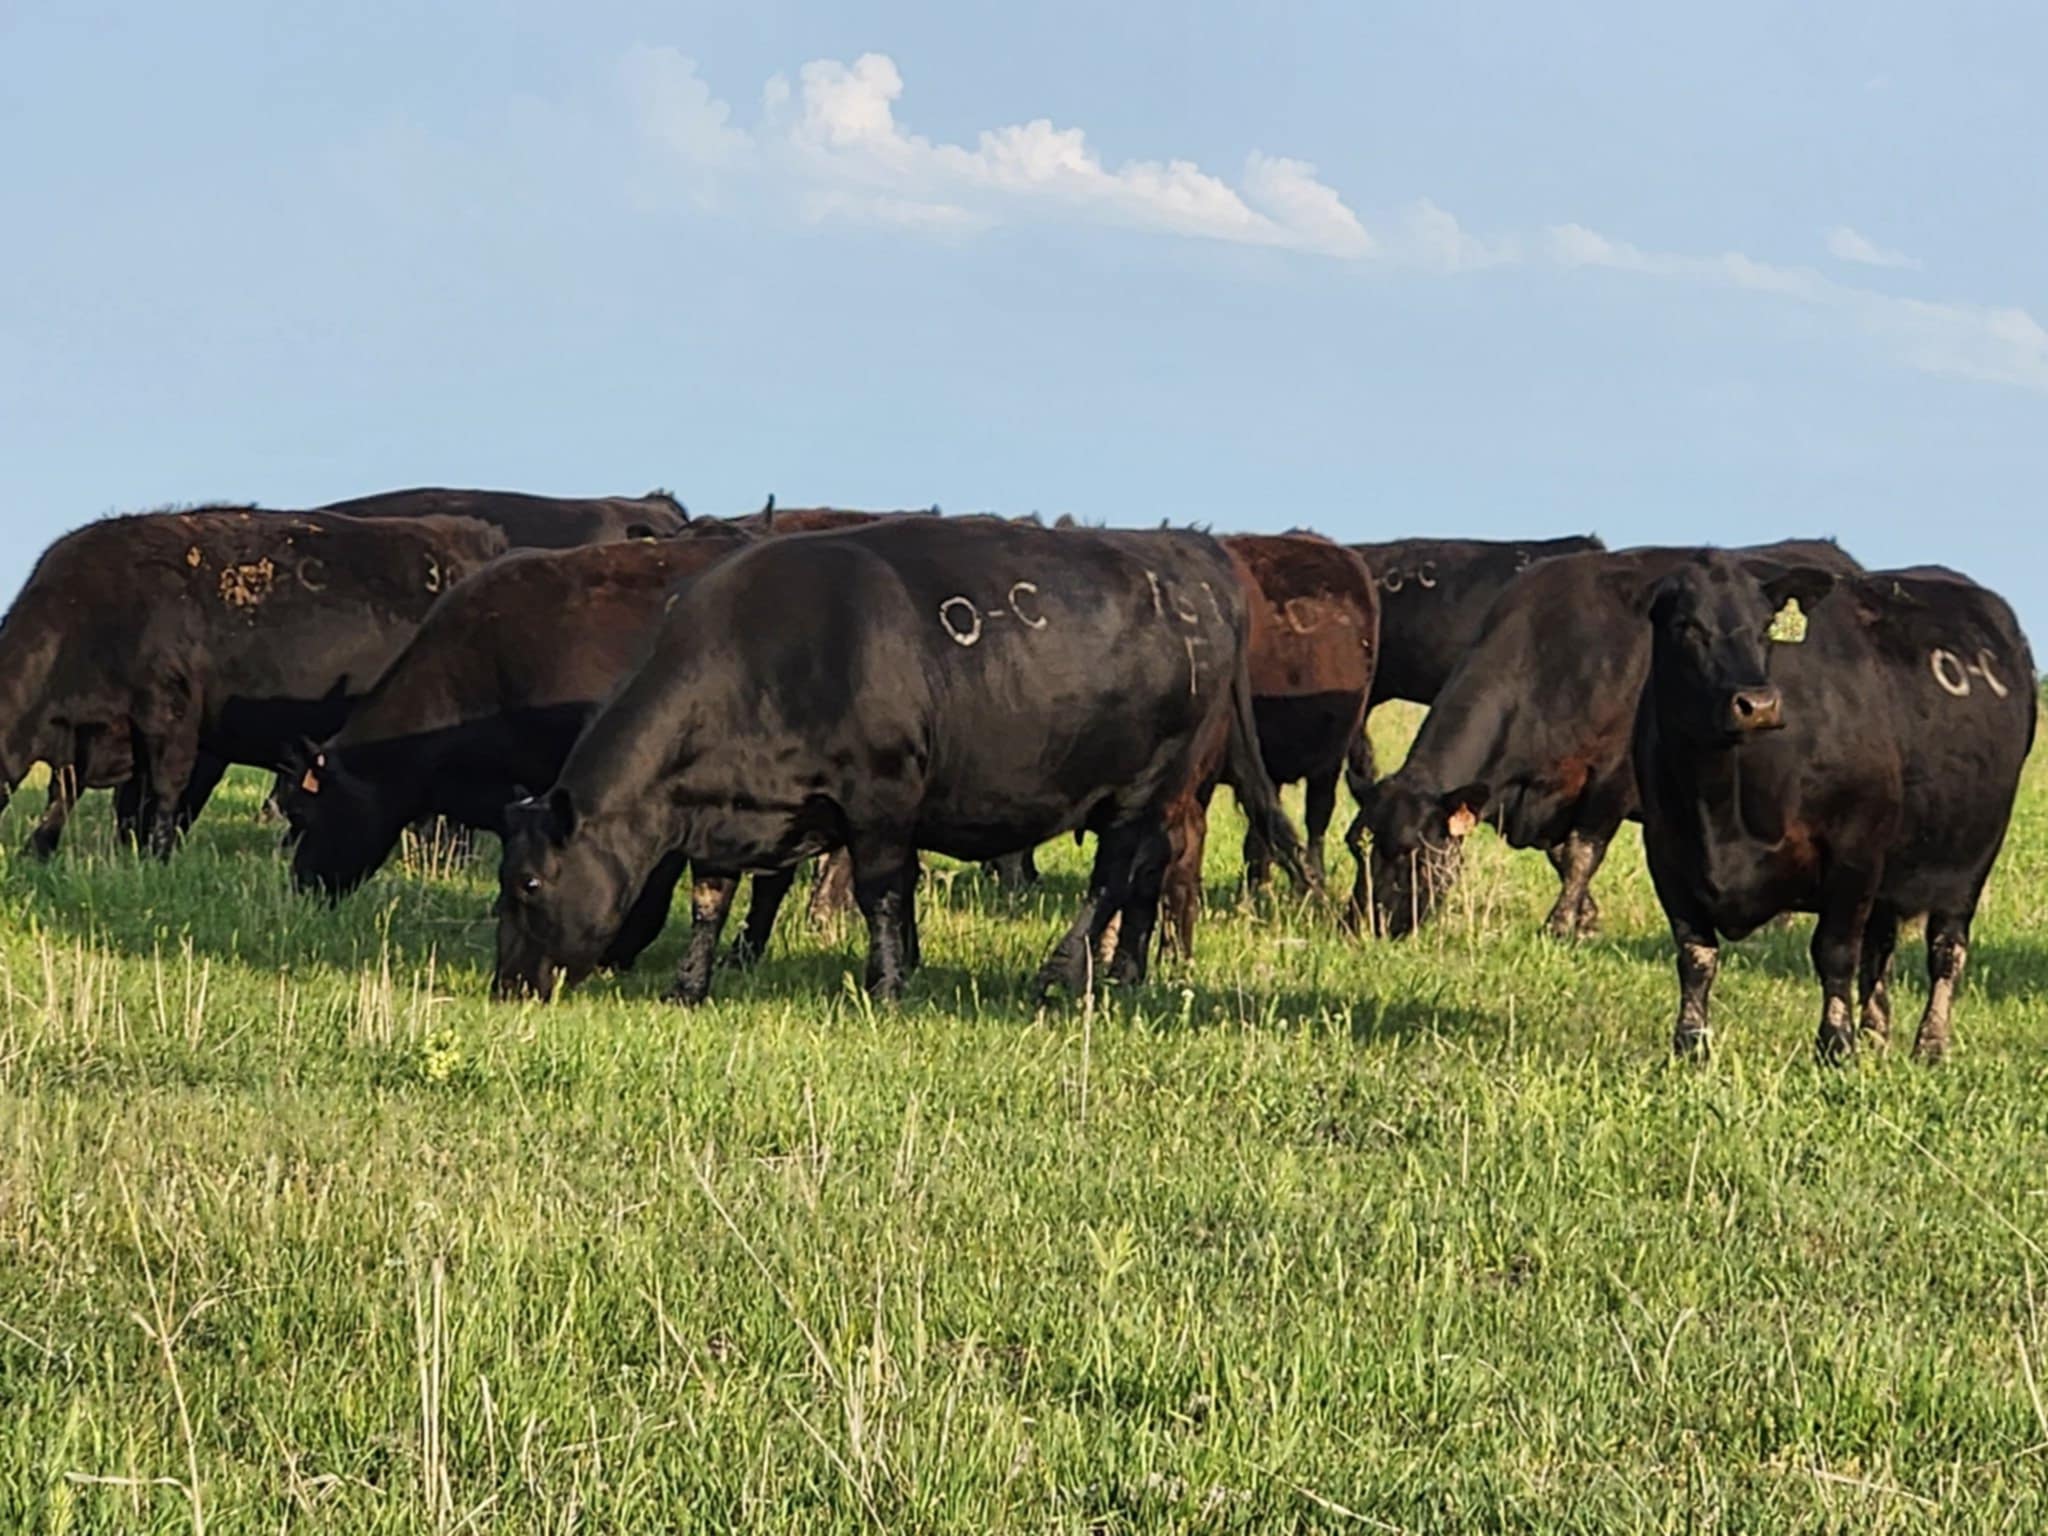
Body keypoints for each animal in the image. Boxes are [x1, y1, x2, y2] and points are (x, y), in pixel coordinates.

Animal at [493, 517, 1307, 1004]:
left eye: (529, 882)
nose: (507, 983)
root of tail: (1191, 552)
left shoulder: (881, 799)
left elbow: (880, 891)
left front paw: (885, 982)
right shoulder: (728, 817)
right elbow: (712, 897)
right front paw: (689, 985)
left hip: (1147, 783)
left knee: (1118, 871)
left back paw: (1061, 970)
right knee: (1149, 870)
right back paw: (1126, 971)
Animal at [1356, 540, 1862, 940]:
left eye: (1410, 852)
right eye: (1354, 845)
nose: (1361, 925)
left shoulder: (1612, 778)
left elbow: (1581, 853)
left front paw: (1561, 926)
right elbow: (1560, 853)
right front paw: (1586, 917)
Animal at [1634, 555, 2034, 1062]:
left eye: (1766, 625)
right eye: (1686, 626)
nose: (1758, 704)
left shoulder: (1854, 849)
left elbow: (1835, 952)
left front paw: (1836, 1045)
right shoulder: (1666, 851)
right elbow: (1696, 955)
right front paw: (1689, 1044)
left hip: (1970, 859)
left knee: (1945, 950)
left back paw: (1929, 1045)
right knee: (1880, 949)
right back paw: (1876, 1035)